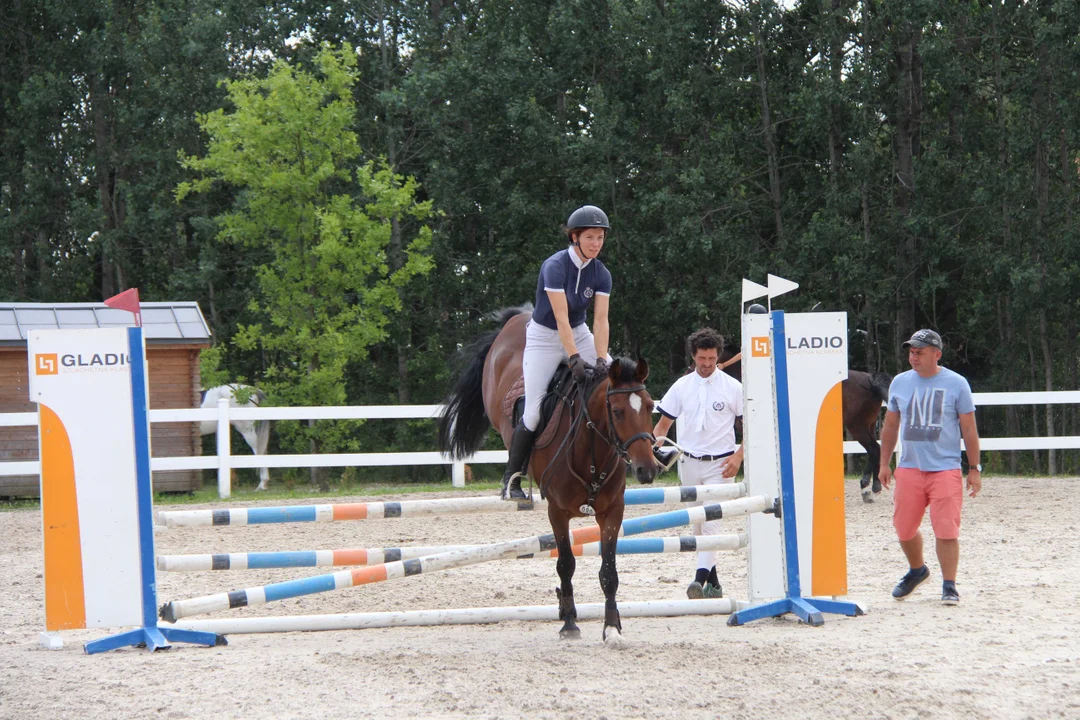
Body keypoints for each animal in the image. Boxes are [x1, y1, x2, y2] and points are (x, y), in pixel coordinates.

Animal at [436, 306, 656, 643]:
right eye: (617, 412)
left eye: (649, 406)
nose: (647, 470)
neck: (592, 451)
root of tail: (518, 317)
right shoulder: (557, 512)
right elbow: (566, 563)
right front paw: (569, 622)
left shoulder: (612, 512)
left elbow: (609, 571)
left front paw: (612, 628)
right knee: (524, 421)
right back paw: (512, 485)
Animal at [721, 347, 889, 500]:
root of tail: (869, 378)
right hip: (869, 424)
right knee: (874, 449)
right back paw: (866, 486)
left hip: (856, 425)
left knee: (874, 448)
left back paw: (873, 486)